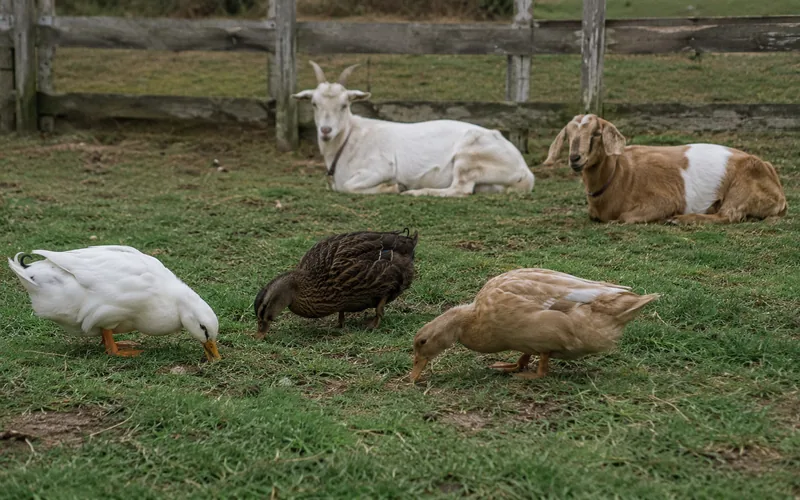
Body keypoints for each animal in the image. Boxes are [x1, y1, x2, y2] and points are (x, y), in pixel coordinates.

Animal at [291, 61, 534, 197]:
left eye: (344, 105)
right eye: (314, 103)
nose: (326, 130)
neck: (350, 139)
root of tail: (525, 171)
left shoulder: (381, 168)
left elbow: (348, 187)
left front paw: (393, 187)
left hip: (470, 158)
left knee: (460, 189)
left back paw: (416, 192)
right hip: (489, 182)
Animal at [543, 114, 788, 224]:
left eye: (596, 134)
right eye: (569, 135)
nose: (575, 158)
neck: (621, 174)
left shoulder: (662, 201)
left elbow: (624, 218)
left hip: (741, 189)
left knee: (728, 216)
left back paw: (681, 219)